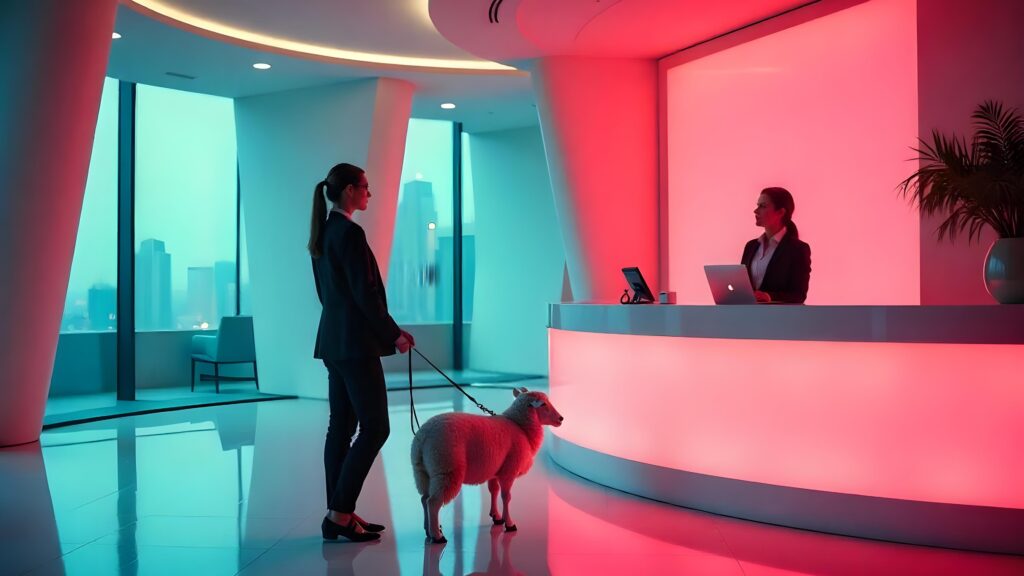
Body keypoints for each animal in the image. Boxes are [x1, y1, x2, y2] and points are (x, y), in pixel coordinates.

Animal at [409, 385, 569, 541]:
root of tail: (422, 438)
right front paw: (509, 523)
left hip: (423, 473)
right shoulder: (509, 471)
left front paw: (496, 517)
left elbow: (494, 491)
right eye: (543, 404)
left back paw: (428, 530)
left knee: (424, 499)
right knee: (433, 502)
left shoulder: (495, 471)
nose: (561, 418)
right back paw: (437, 535)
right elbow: (506, 497)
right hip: (446, 469)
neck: (520, 426)